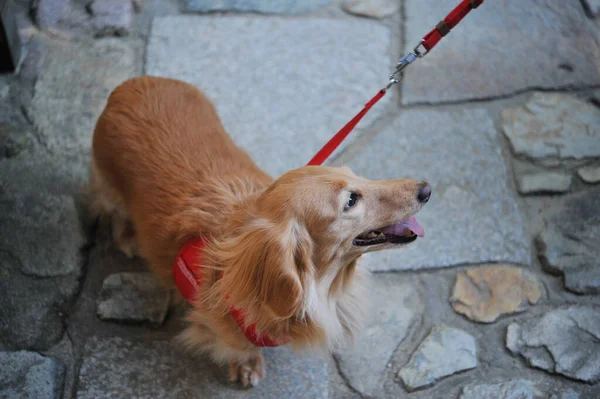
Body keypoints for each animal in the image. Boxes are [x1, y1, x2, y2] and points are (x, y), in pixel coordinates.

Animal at [89, 76, 428, 390]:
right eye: (351, 200)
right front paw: (247, 366)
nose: (426, 189)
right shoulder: (218, 324)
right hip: (110, 189)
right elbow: (239, 346)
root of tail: (131, 83)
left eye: (360, 178)